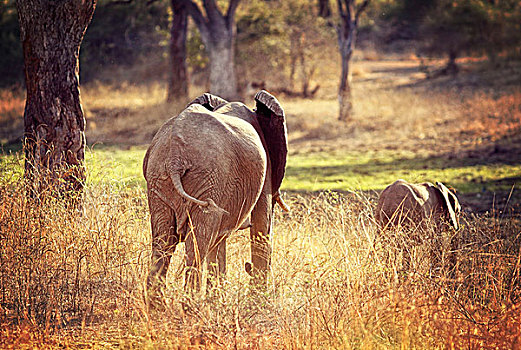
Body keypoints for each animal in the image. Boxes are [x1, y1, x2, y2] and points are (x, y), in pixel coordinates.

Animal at [142, 89, 288, 296]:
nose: (247, 266)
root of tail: (175, 157)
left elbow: (219, 240)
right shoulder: (264, 173)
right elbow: (261, 225)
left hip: (159, 178)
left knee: (163, 243)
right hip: (209, 178)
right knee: (197, 245)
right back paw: (192, 303)